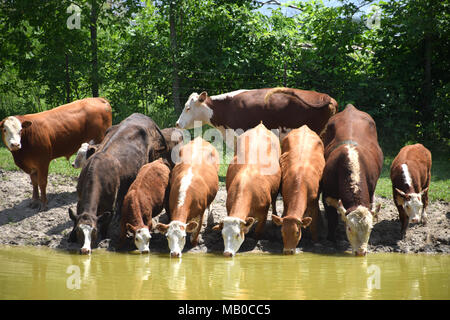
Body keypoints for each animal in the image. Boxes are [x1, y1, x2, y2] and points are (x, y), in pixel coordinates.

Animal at [68, 112, 169, 255]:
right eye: (79, 230)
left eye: (94, 231)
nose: (84, 249)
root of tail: (144, 117)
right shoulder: (80, 200)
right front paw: (71, 236)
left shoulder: (109, 205)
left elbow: (105, 223)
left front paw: (103, 237)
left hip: (152, 157)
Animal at [214, 122, 282, 258]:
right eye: (223, 235)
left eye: (237, 234)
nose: (227, 253)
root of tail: (260, 126)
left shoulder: (263, 215)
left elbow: (257, 233)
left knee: (274, 200)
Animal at [270, 126, 324, 254]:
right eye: (282, 231)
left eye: (297, 232)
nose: (288, 251)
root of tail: (304, 127)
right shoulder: (285, 200)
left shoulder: (314, 202)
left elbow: (314, 224)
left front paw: (316, 241)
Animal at [320, 105, 384, 258]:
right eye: (349, 228)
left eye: (370, 228)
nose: (361, 252)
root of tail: (350, 108)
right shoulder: (327, 194)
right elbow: (332, 219)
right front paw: (331, 238)